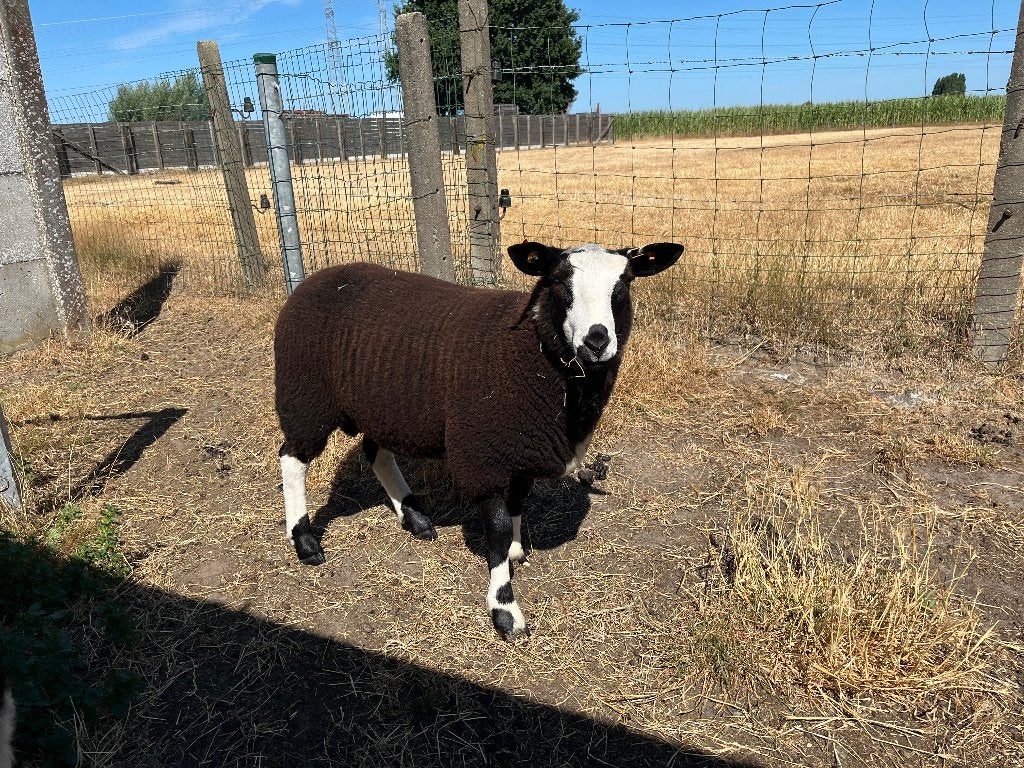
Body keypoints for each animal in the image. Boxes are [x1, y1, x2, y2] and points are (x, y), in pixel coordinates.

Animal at [274, 239, 684, 639]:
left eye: (624, 284)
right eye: (558, 283)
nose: (597, 340)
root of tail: (316, 279)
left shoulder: (520, 449)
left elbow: (518, 504)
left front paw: (516, 551)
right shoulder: (481, 456)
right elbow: (497, 529)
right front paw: (505, 610)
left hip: (382, 406)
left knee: (376, 452)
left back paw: (415, 518)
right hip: (305, 397)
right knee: (292, 457)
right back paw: (305, 541)